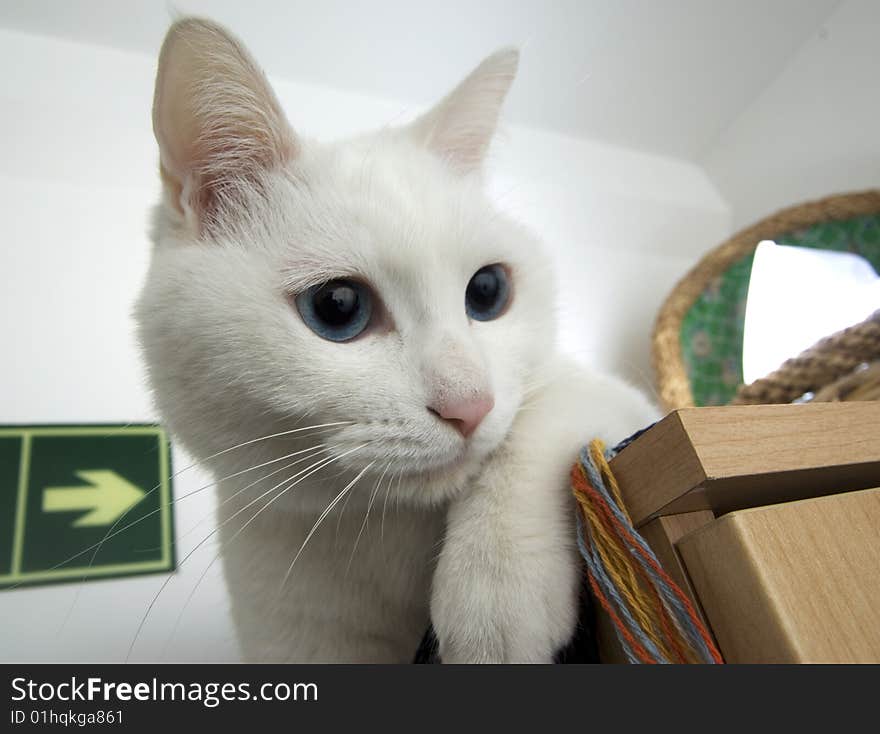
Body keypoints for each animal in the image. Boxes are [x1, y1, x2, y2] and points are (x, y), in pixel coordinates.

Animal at [138, 17, 656, 664]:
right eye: (337, 307)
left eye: (487, 291)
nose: (469, 406)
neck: (387, 532)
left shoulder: (622, 405)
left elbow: (546, 415)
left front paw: (495, 591)